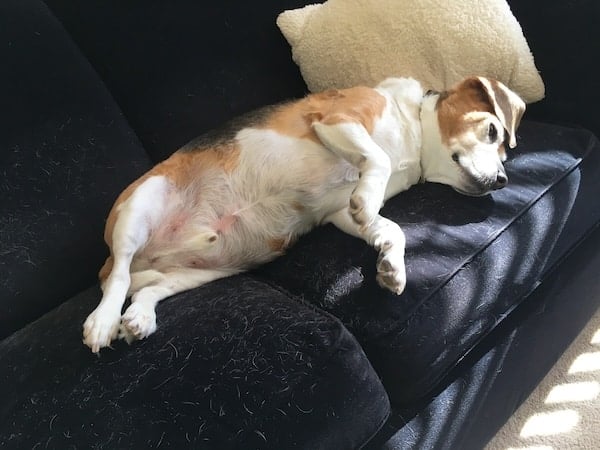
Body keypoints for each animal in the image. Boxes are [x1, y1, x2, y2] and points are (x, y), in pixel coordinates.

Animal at [82, 76, 524, 352]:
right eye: (491, 130)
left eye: (503, 149)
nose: (503, 180)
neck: (412, 133)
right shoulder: (338, 121)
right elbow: (377, 161)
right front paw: (371, 205)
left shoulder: (338, 211)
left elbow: (389, 228)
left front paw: (391, 265)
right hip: (139, 207)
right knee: (119, 278)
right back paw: (103, 321)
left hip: (204, 273)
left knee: (146, 289)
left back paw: (139, 317)